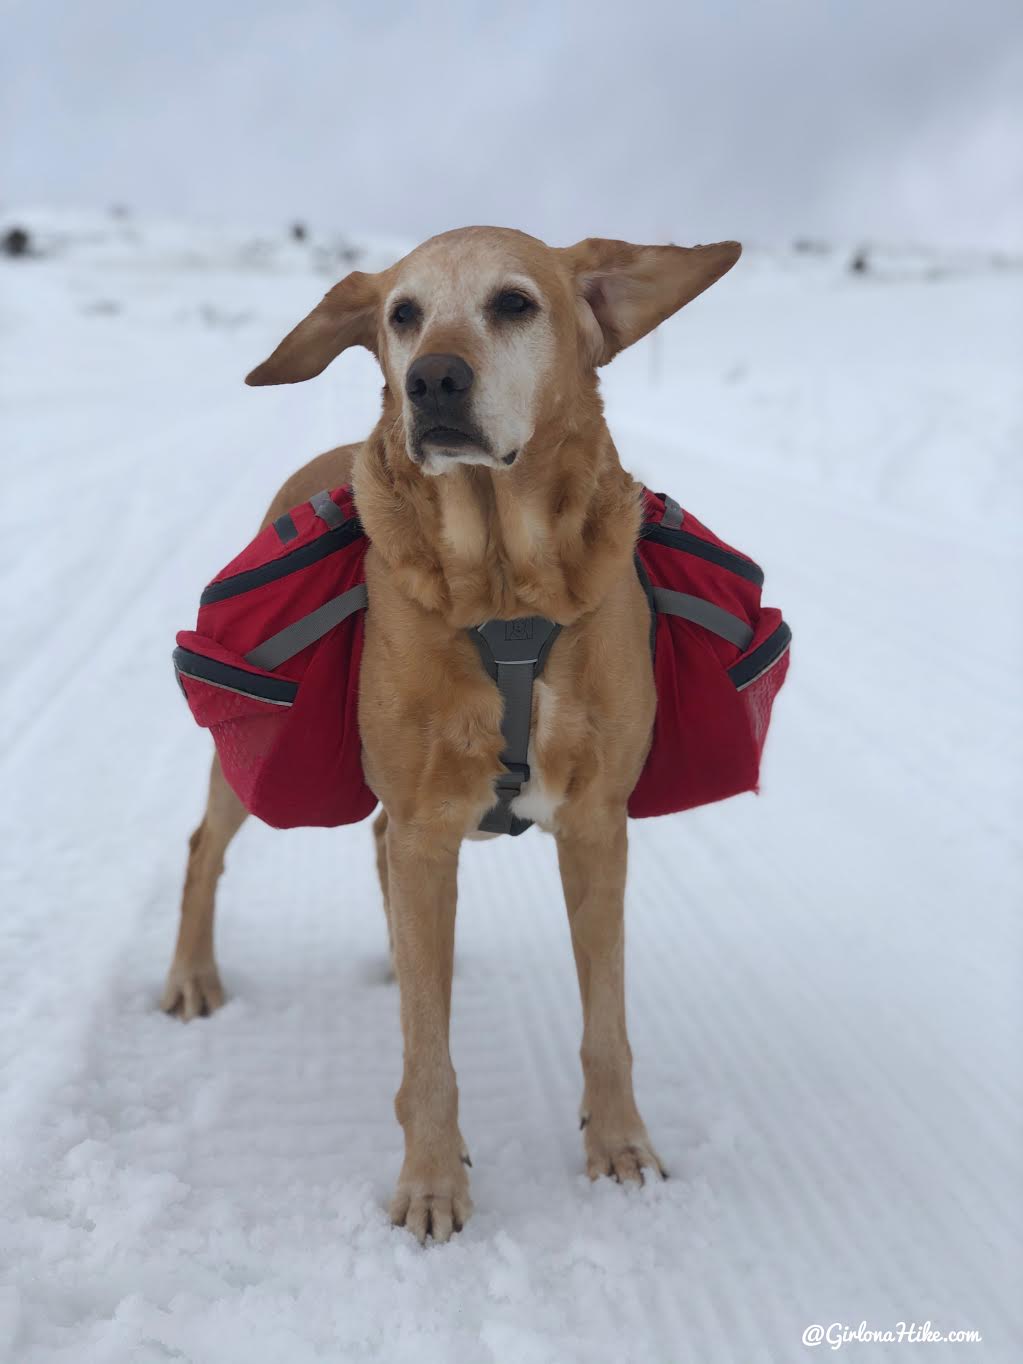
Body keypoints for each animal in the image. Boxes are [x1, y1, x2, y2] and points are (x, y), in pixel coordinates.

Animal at [160, 229, 742, 1243]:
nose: (429, 380)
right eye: (403, 313)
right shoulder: (429, 826)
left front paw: (620, 1146)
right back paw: (194, 975)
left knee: (376, 857)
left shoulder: (596, 826)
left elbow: (605, 1023)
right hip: (253, 767)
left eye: (514, 303)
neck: (504, 586)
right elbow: (427, 1052)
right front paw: (431, 1182)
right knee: (206, 847)